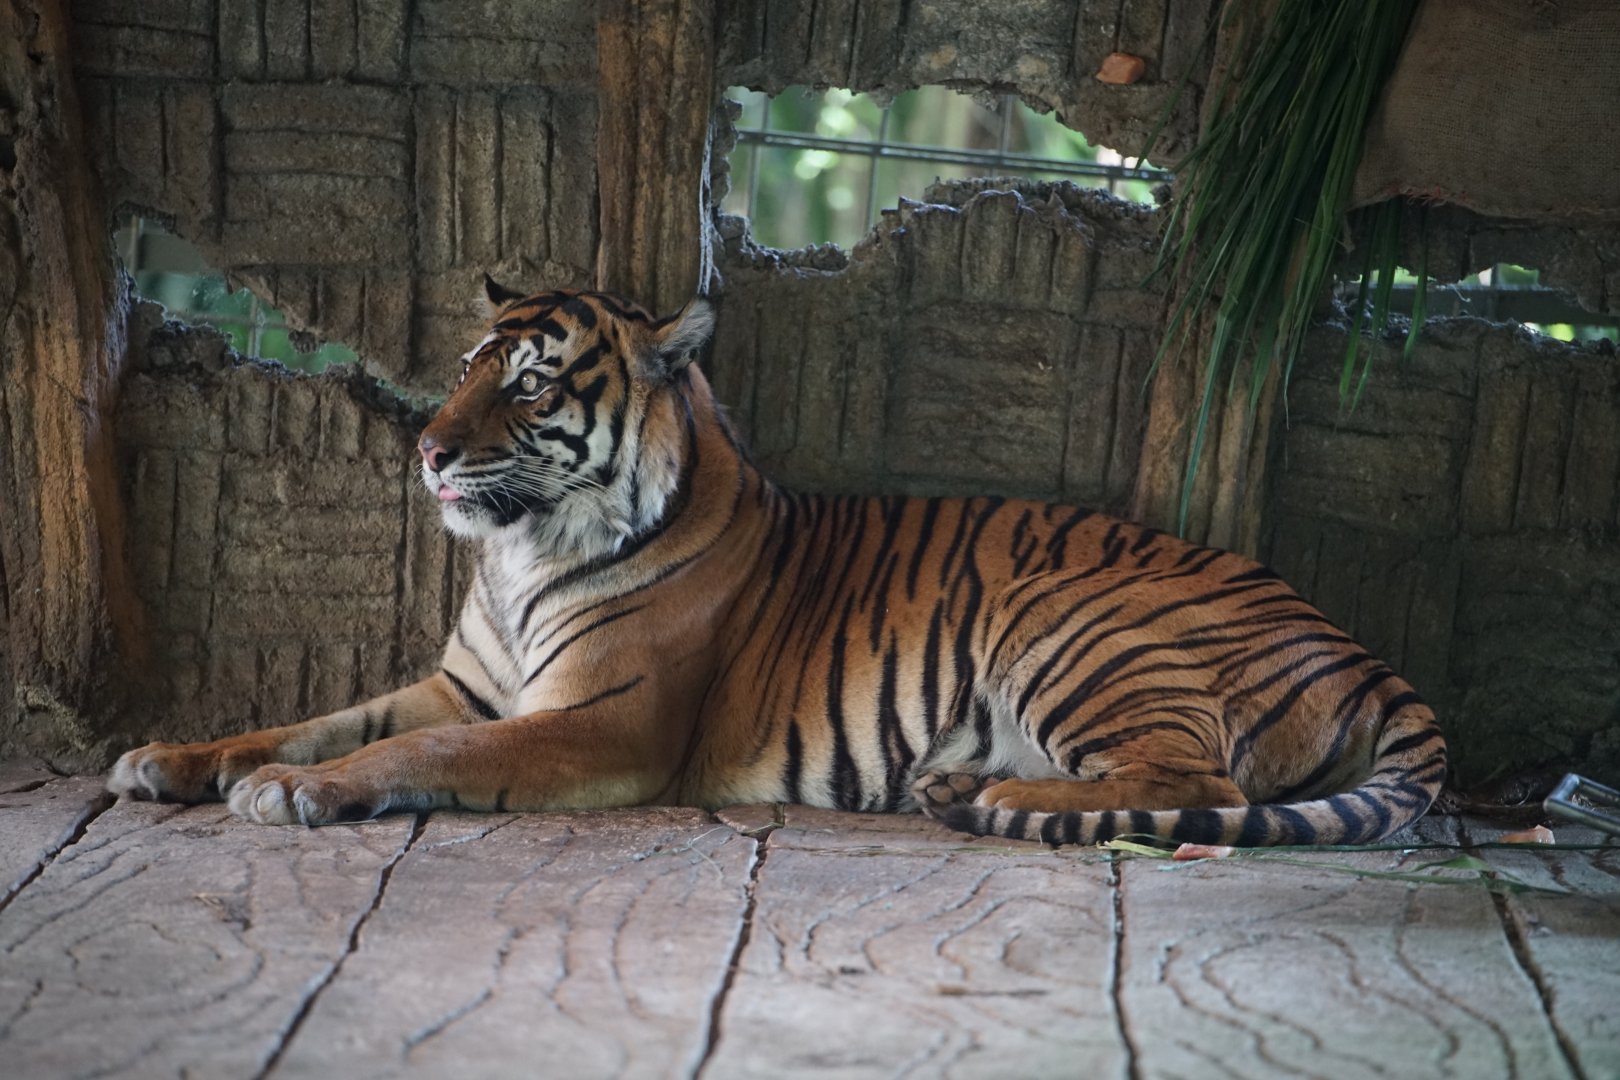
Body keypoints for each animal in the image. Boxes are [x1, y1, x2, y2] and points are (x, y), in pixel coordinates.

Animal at [108, 279, 1446, 847]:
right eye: (465, 368)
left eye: (529, 383)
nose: (426, 450)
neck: (521, 555)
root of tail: (1366, 653)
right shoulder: (464, 686)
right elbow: (314, 719)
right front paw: (169, 759)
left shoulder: (597, 724)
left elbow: (410, 755)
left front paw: (293, 794)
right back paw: (959, 786)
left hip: (1071, 618)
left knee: (1196, 782)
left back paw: (988, 800)